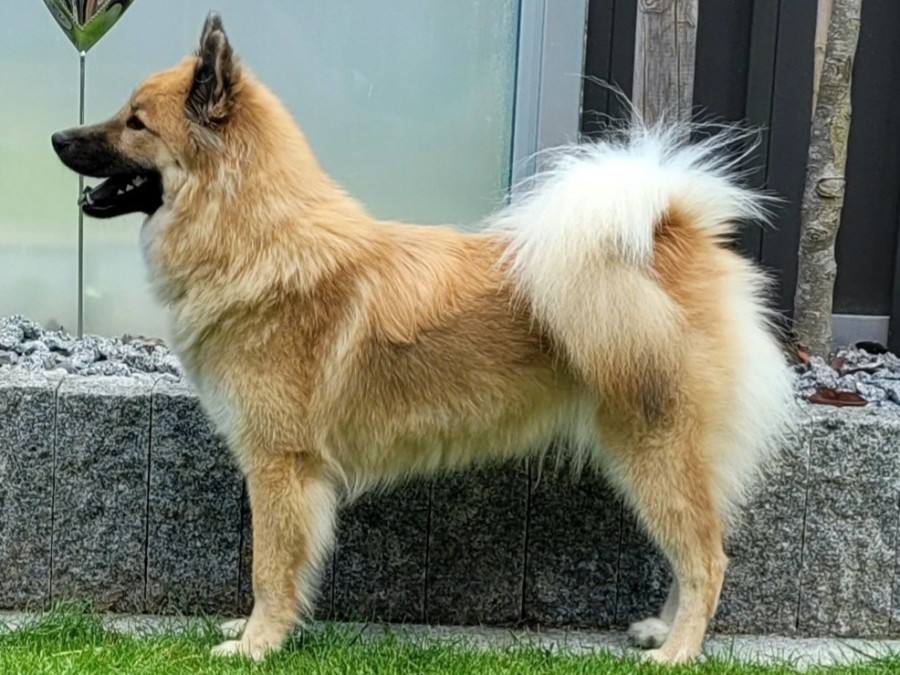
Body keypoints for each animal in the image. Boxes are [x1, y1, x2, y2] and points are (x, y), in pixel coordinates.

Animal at [51, 12, 794, 664]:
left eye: (135, 121)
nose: (57, 137)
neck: (255, 239)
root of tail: (674, 229)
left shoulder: (280, 465)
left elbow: (269, 566)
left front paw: (257, 645)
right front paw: (257, 632)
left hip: (655, 449)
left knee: (707, 559)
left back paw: (679, 652)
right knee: (692, 552)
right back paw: (662, 630)